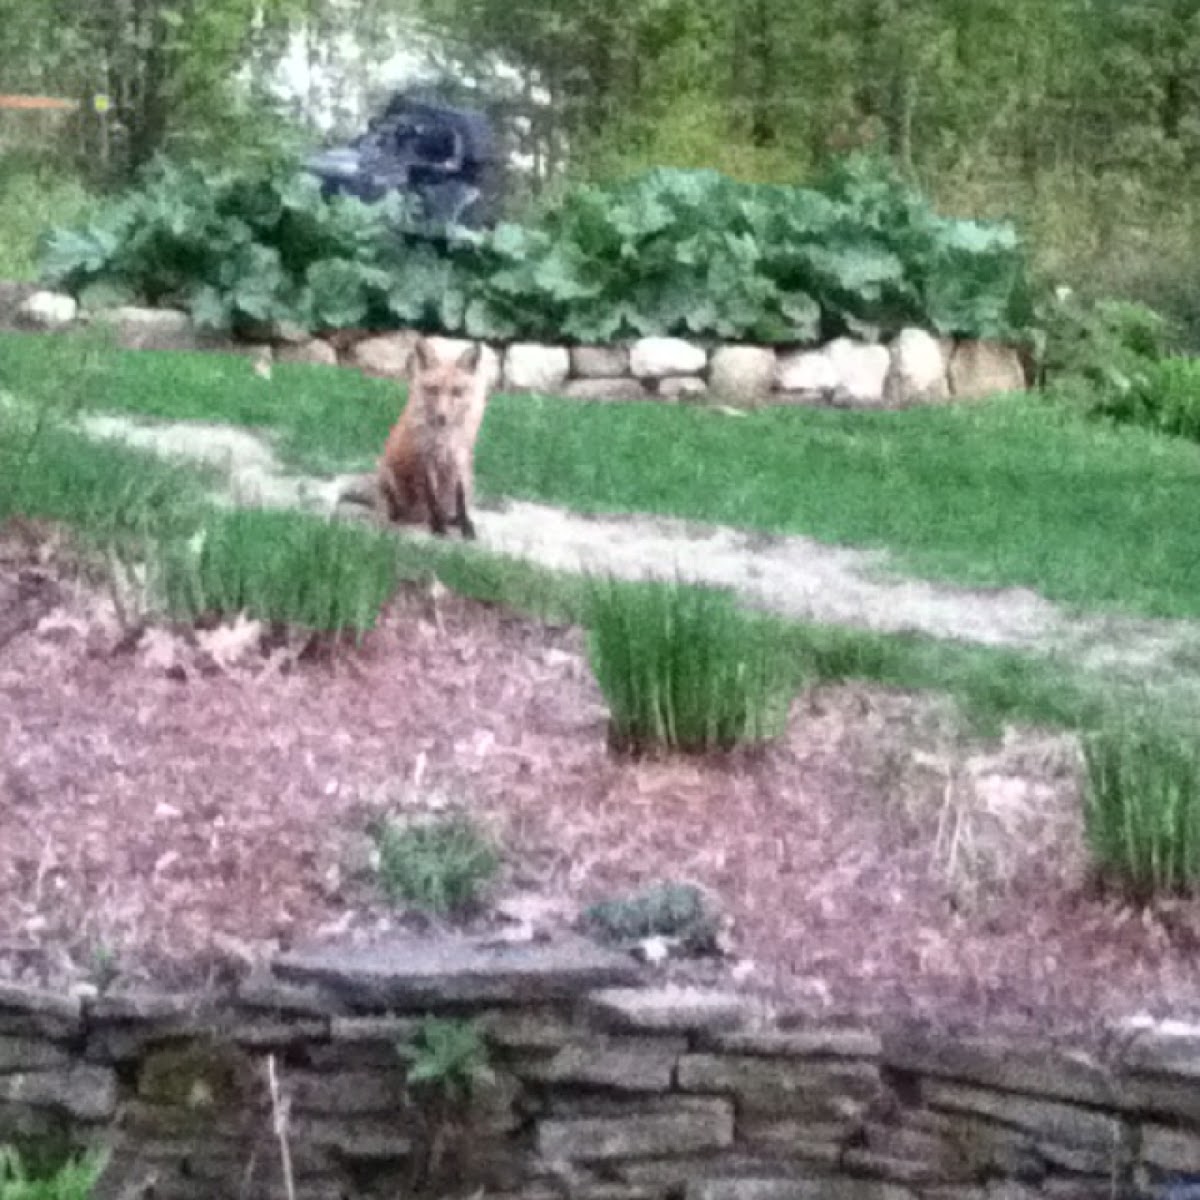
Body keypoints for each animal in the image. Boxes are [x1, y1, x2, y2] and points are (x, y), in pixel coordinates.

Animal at [376, 337, 492, 540]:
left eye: (457, 392)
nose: (441, 417)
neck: (444, 436)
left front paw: (465, 526)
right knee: (395, 504)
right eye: (433, 389)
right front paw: (438, 527)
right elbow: (432, 497)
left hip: (470, 476)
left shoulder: (460, 455)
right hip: (387, 473)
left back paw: (453, 519)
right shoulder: (425, 456)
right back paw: (400, 514)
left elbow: (460, 498)